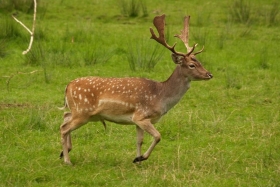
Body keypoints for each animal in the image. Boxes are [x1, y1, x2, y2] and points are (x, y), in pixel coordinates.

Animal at [59, 14, 212, 165]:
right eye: (192, 65)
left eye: (200, 62)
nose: (209, 74)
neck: (161, 96)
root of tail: (68, 86)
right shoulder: (141, 116)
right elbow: (158, 136)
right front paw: (140, 158)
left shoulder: (137, 120)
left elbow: (139, 140)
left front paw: (137, 161)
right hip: (82, 112)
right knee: (64, 128)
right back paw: (67, 160)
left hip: (80, 112)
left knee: (65, 117)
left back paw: (64, 152)